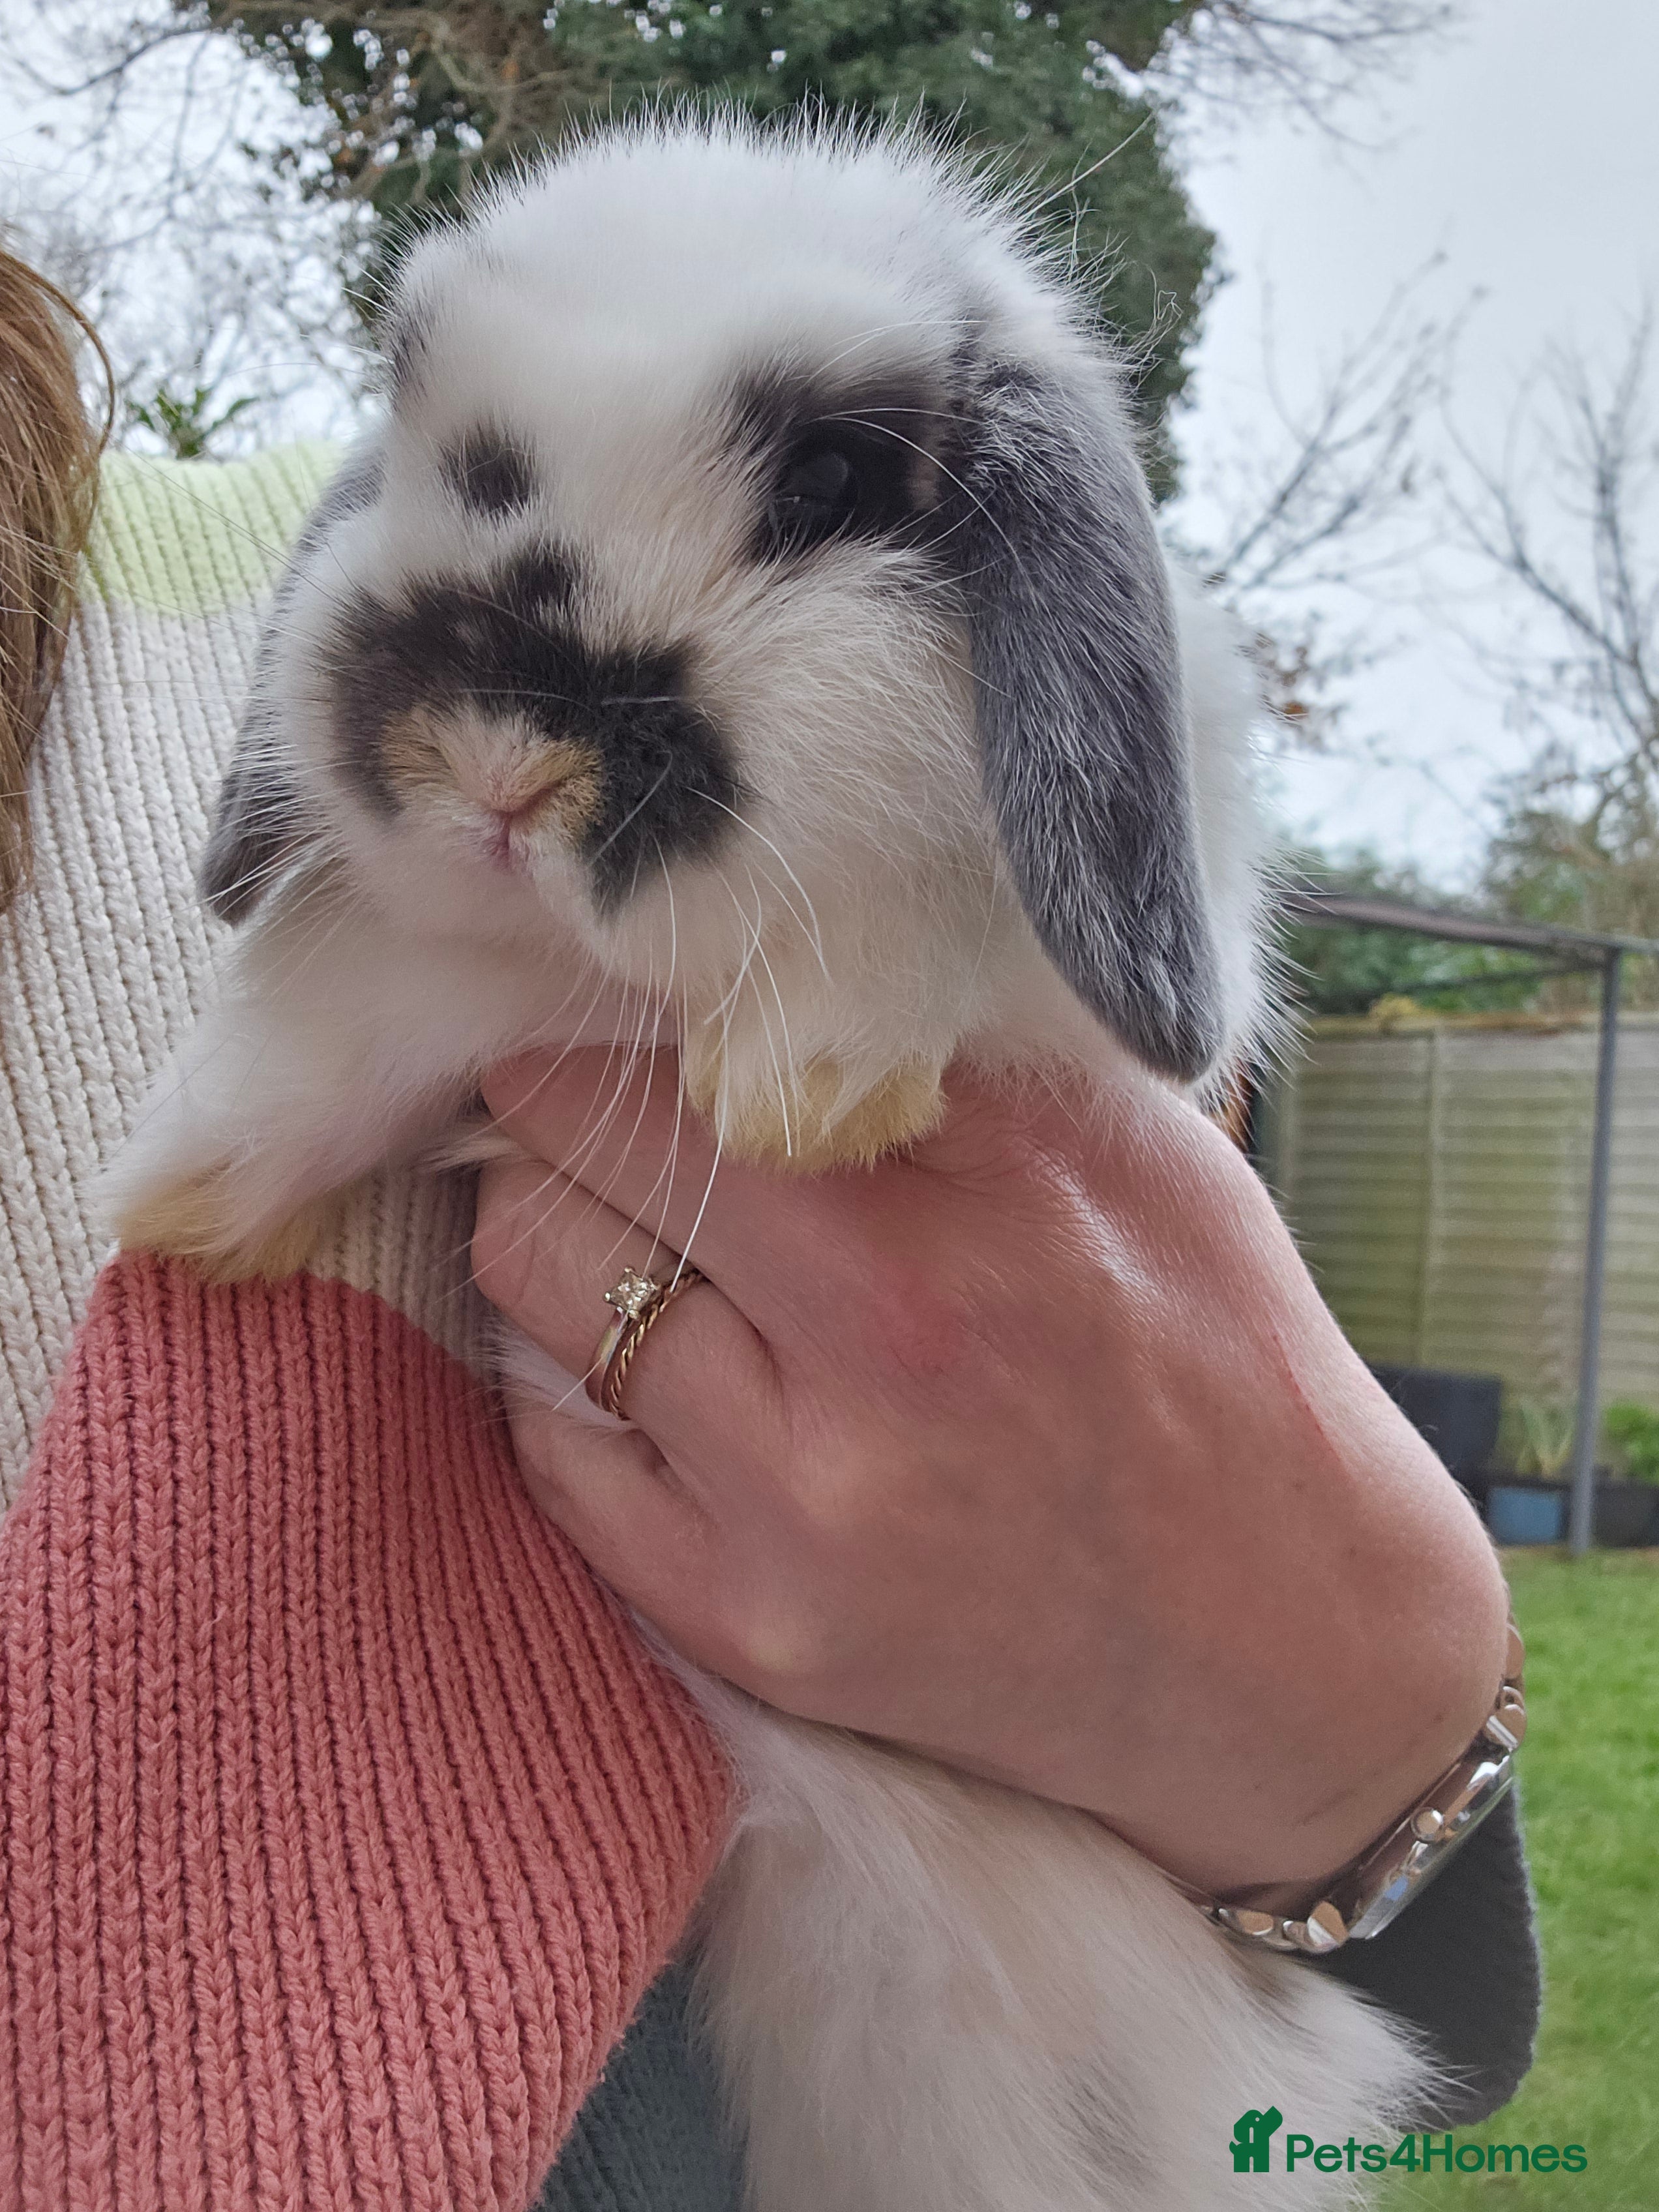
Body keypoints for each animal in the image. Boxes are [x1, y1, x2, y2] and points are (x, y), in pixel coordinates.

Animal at [110, 114, 1430, 2211]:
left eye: (825, 488)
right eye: (430, 435)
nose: (498, 761)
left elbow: (930, 920)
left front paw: (807, 1077)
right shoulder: (461, 957)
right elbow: (378, 980)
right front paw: (194, 1184)